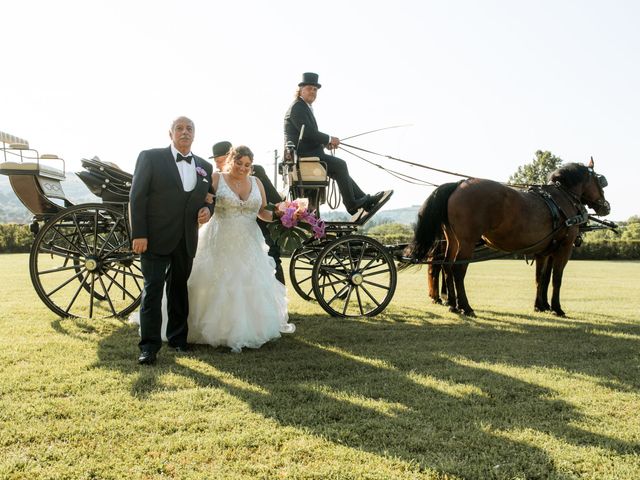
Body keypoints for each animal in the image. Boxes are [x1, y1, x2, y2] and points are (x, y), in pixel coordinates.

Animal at [404, 158, 608, 316]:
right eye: (600, 181)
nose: (606, 206)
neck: (561, 200)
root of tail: (459, 184)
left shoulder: (544, 251)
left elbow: (541, 278)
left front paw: (541, 306)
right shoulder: (564, 248)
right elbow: (557, 278)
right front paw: (557, 308)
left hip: (452, 240)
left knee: (446, 266)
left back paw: (453, 304)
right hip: (467, 242)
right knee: (457, 270)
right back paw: (465, 307)